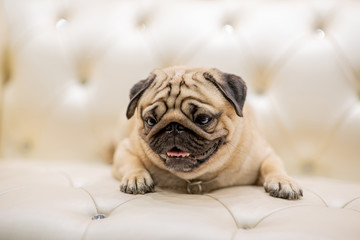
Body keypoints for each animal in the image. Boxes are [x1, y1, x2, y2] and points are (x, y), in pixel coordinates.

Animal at [112, 66, 304, 201]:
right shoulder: (125, 148)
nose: (173, 127)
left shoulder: (264, 154)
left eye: (203, 119)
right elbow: (132, 162)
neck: (196, 178)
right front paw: (136, 178)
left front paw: (283, 181)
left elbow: (272, 165)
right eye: (151, 120)